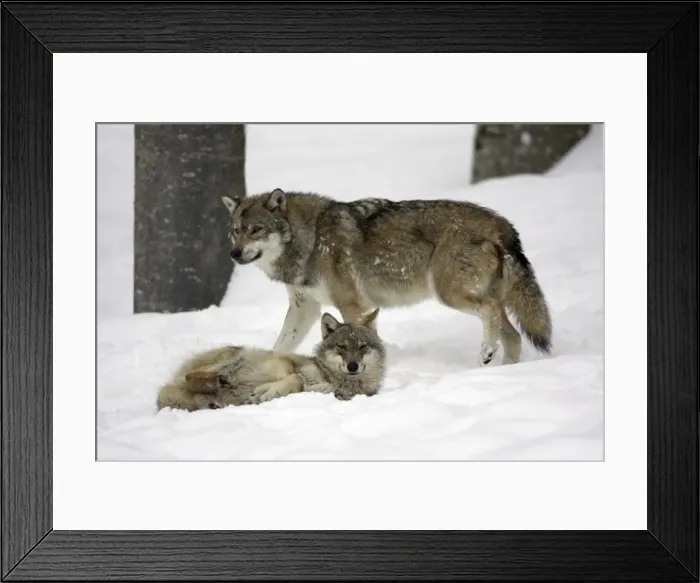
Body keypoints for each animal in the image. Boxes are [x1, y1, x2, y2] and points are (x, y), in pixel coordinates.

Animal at [156, 309, 385, 412]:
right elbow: (294, 377)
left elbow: (300, 383)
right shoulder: (285, 361)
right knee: (191, 376)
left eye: (362, 346)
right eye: (342, 347)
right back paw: (221, 380)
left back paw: (216, 399)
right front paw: (267, 390)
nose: (353, 366)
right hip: (242, 353)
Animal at [221, 188, 552, 366]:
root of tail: (500, 221)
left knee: (492, 313)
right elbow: (279, 346)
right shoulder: (306, 309)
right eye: (236, 231)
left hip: (450, 294)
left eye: (256, 230)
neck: (311, 240)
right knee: (513, 335)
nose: (234, 254)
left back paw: (486, 352)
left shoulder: (352, 306)